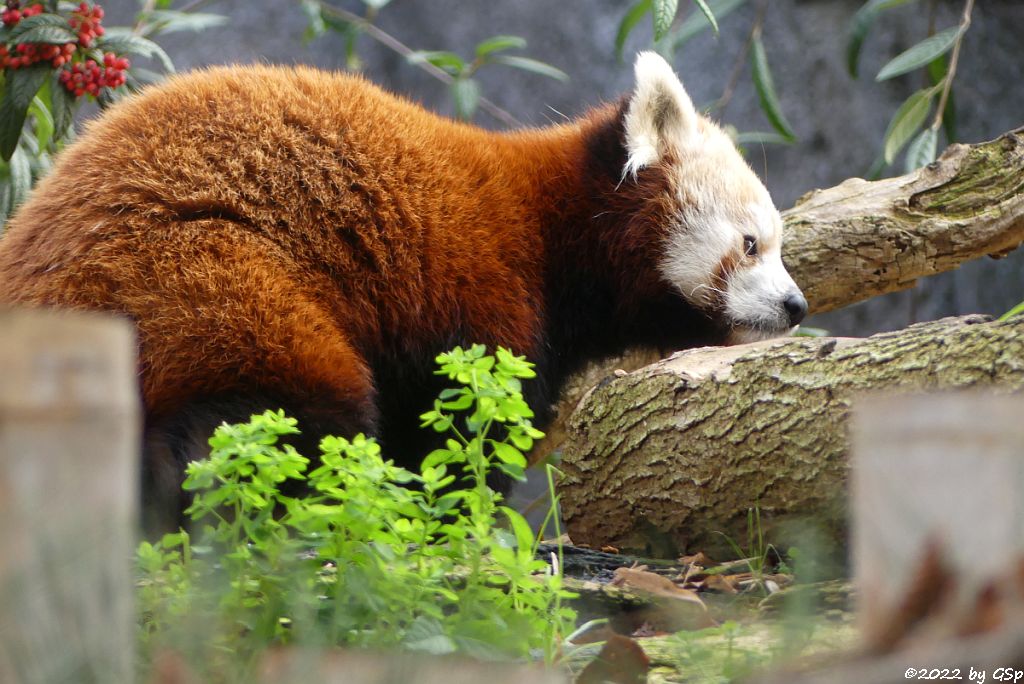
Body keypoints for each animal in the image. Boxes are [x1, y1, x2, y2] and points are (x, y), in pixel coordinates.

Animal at [0, 53, 798, 528]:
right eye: (750, 245)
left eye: (779, 245)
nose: (795, 306)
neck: (554, 235)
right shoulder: (480, 301)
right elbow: (461, 430)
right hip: (198, 279)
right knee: (278, 414)